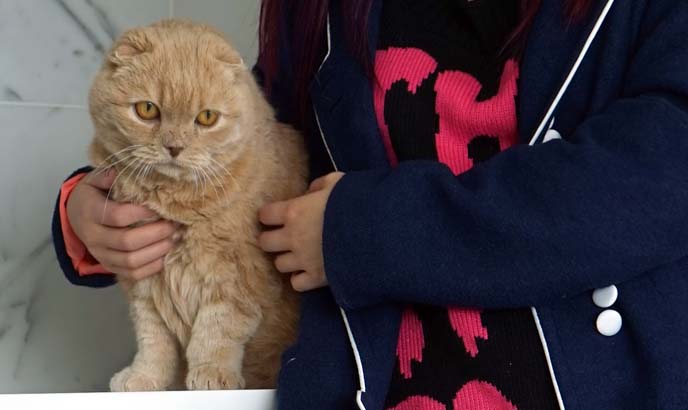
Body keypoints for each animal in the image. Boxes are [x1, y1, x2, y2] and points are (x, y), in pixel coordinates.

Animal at [88, 20, 306, 390]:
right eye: (147, 109)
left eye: (206, 117)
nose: (174, 147)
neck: (174, 202)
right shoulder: (146, 285)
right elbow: (154, 342)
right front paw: (143, 378)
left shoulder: (238, 279)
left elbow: (215, 332)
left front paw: (212, 375)